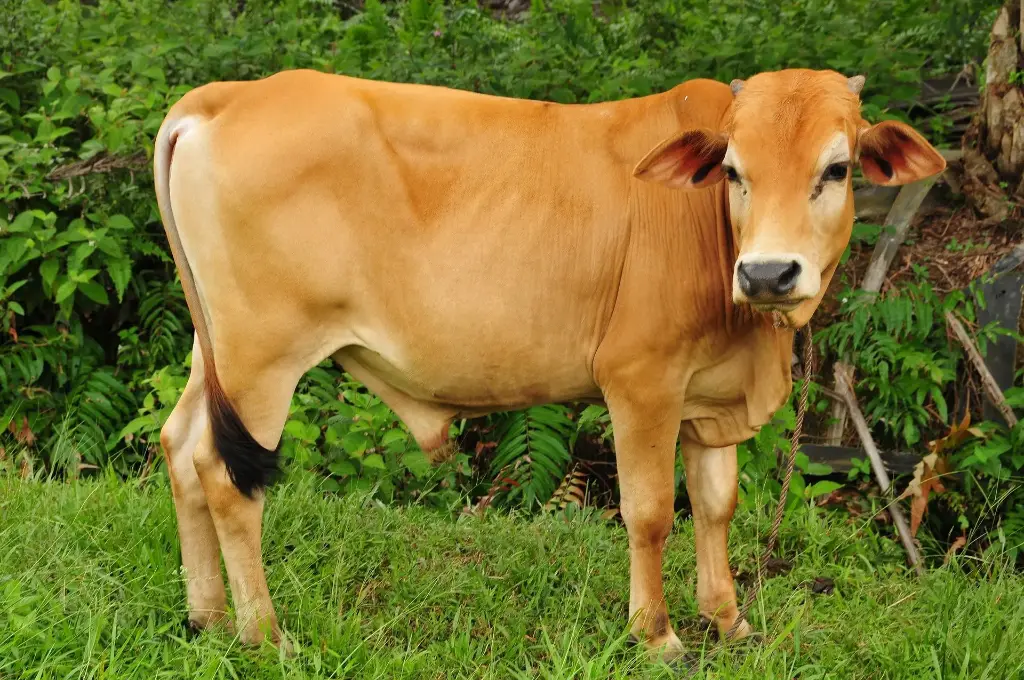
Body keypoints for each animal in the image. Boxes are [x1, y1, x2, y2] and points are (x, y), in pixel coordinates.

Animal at [153, 67, 945, 660]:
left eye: (836, 169)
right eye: (732, 170)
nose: (769, 273)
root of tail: (226, 96)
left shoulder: (709, 399)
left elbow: (716, 505)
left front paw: (729, 619)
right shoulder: (641, 382)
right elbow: (650, 512)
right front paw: (656, 635)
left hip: (213, 349)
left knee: (181, 448)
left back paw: (207, 617)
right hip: (262, 357)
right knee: (226, 476)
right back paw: (263, 634)